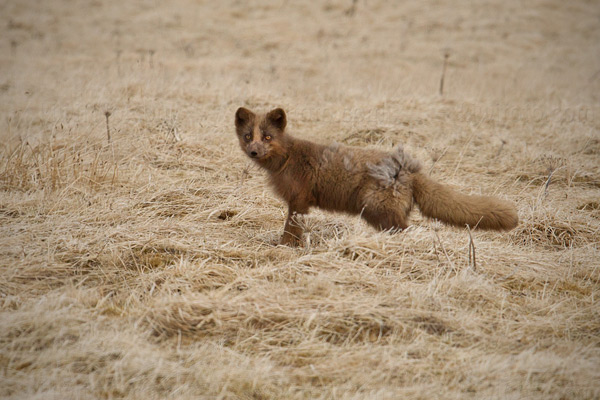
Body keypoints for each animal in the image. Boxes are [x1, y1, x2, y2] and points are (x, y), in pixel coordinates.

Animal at [234, 106, 516, 245]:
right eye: (248, 136)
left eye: (267, 137)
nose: (253, 151)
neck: (288, 158)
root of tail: (409, 169)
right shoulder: (298, 202)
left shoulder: (299, 201)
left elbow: (291, 230)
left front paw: (284, 247)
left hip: (378, 209)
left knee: (407, 231)